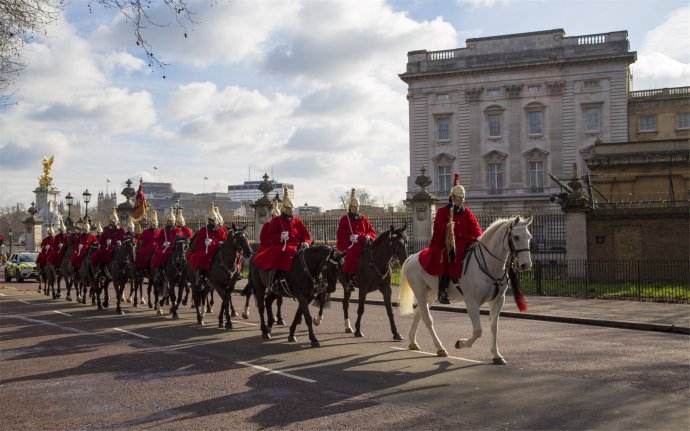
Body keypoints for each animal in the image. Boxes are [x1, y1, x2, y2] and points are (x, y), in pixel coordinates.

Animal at [398, 216, 533, 364]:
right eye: (516, 237)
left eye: (529, 237)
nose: (526, 265)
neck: (489, 265)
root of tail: (412, 257)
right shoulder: (472, 302)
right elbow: (478, 331)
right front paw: (461, 343)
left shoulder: (498, 301)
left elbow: (494, 327)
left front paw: (496, 354)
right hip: (420, 291)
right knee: (427, 319)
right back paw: (440, 348)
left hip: (431, 293)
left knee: (419, 313)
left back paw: (413, 342)